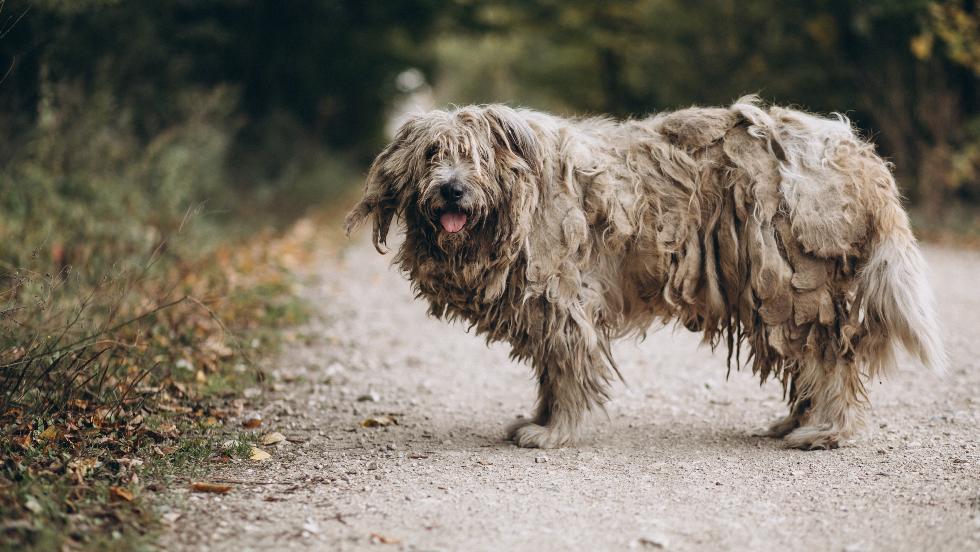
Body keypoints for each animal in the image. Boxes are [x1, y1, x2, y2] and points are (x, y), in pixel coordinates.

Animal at [348, 98, 944, 448]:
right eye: (432, 154)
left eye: (477, 157)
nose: (451, 189)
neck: (523, 196)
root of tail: (859, 154)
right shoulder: (546, 306)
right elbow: (550, 371)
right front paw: (539, 419)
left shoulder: (563, 297)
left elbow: (568, 370)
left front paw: (555, 432)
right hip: (777, 291)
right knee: (809, 361)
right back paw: (798, 421)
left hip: (801, 282)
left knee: (832, 361)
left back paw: (826, 432)